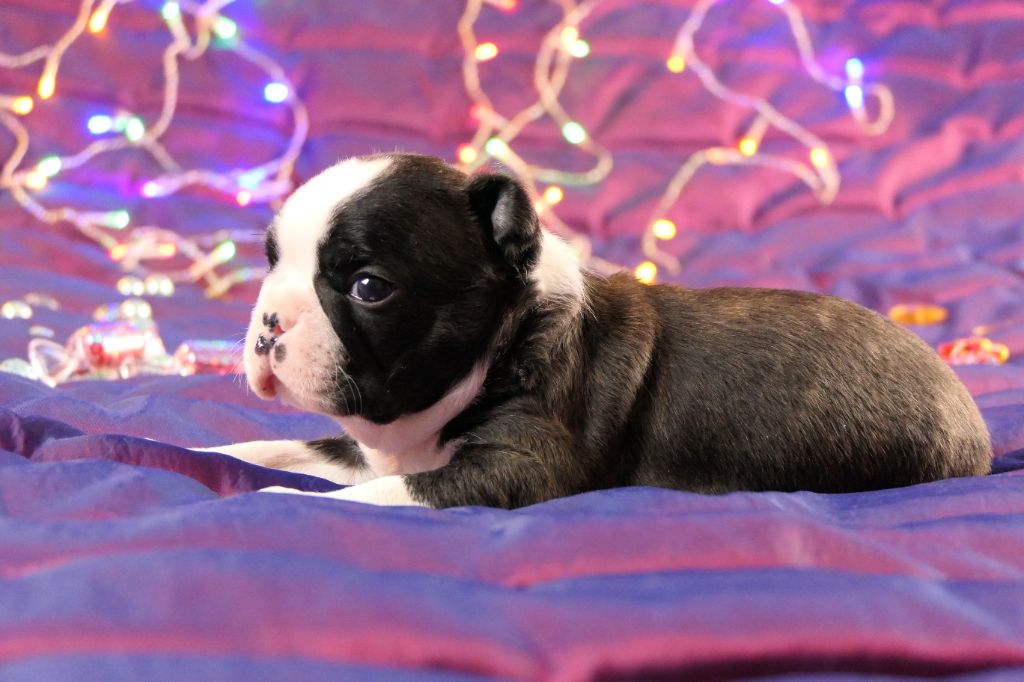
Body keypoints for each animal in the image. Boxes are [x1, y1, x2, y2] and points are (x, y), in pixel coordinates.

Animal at [197, 152, 991, 508]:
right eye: (270, 263)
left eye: (369, 288)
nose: (267, 323)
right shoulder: (371, 446)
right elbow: (284, 445)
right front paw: (202, 452)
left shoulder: (518, 467)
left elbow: (384, 495)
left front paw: (282, 503)